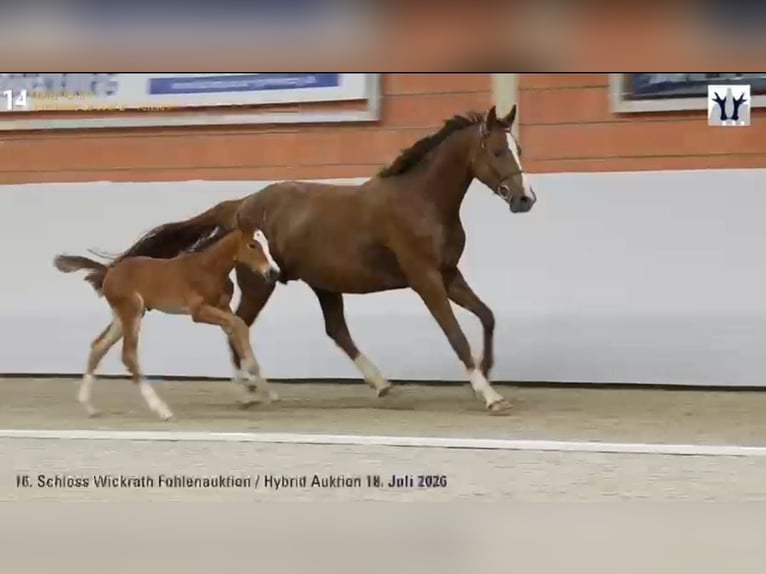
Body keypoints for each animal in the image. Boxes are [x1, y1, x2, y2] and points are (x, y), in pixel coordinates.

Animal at [53, 225, 281, 420]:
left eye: (266, 243)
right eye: (252, 245)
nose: (273, 272)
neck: (209, 268)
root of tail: (110, 272)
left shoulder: (223, 308)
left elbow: (237, 327)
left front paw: (258, 387)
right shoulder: (198, 312)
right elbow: (238, 325)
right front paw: (253, 382)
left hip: (123, 316)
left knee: (99, 346)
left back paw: (89, 407)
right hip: (131, 311)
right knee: (128, 355)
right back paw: (162, 410)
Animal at [97, 104, 536, 414]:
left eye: (519, 149)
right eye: (499, 150)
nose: (524, 198)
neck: (421, 201)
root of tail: (240, 205)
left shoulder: (448, 273)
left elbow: (487, 316)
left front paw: (488, 370)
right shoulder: (425, 278)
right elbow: (455, 333)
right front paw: (489, 394)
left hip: (323, 283)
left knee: (333, 330)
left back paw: (381, 384)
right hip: (260, 283)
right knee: (237, 324)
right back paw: (248, 391)